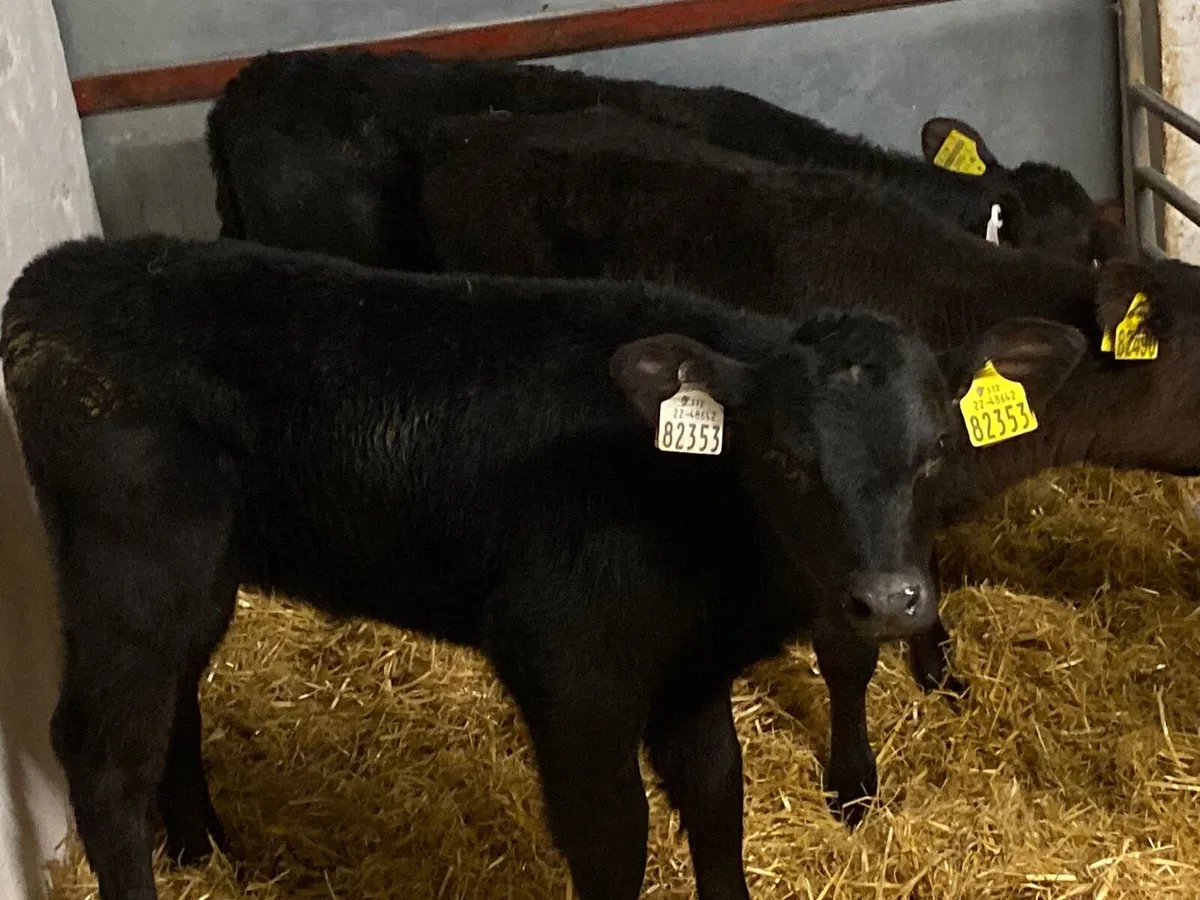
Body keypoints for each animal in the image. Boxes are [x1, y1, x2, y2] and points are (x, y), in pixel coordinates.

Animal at [1, 234, 1084, 900]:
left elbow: (717, 801)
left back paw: (205, 851)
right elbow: (613, 839)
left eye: (936, 449)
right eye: (785, 459)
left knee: (171, 703)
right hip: (134, 559)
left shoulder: (688, 674)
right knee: (102, 747)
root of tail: (57, 275)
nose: (890, 602)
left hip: (195, 572)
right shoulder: (567, 663)